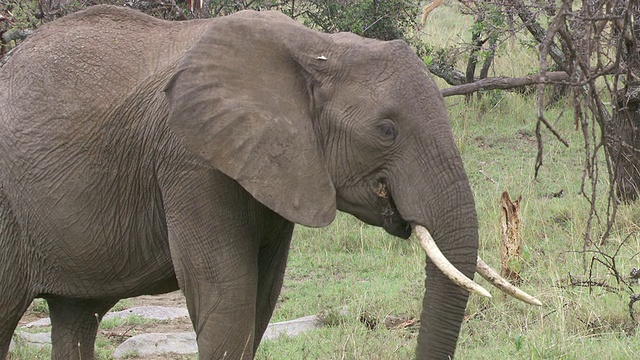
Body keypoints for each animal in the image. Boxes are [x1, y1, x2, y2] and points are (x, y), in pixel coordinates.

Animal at [0, 5, 540, 360]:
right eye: (386, 131)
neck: (319, 50)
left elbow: (261, 300)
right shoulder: (191, 163)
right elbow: (228, 300)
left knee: (76, 315)